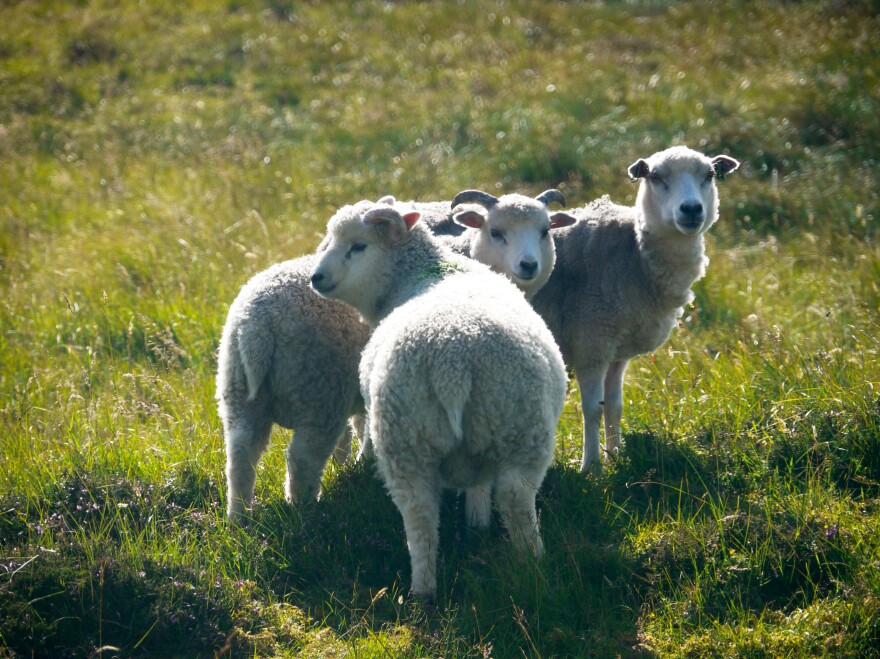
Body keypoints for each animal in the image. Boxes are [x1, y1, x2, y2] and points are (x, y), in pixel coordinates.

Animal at [312, 200, 568, 600]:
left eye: (358, 246)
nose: (316, 277)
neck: (423, 271)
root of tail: (453, 359)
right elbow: (479, 485)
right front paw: (478, 525)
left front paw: (476, 524)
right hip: (506, 425)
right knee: (502, 500)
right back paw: (522, 570)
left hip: (419, 434)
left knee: (424, 514)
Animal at [528, 145, 744, 474]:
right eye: (655, 177)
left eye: (709, 175)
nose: (692, 209)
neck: (634, 254)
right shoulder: (591, 344)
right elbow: (592, 409)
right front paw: (591, 467)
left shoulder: (618, 350)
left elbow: (614, 406)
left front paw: (615, 456)